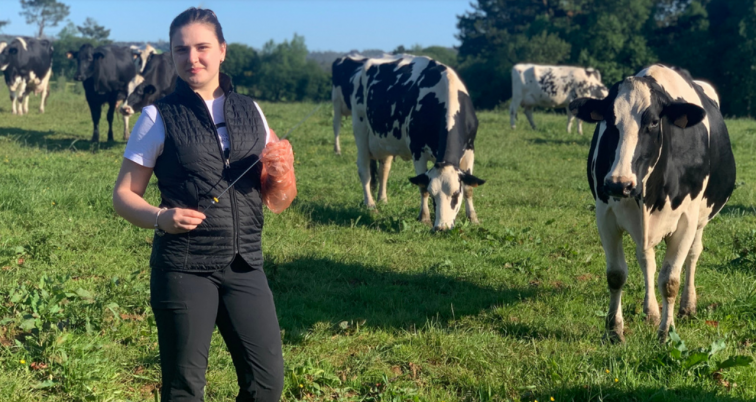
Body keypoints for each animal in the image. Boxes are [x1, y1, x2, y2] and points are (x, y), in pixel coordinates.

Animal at [350, 54, 484, 231]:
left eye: (456, 194)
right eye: (433, 194)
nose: (441, 228)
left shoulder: (470, 149)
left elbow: (469, 188)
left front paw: (473, 218)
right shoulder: (417, 150)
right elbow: (422, 188)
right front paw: (425, 218)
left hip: (384, 142)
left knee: (383, 169)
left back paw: (383, 199)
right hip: (360, 130)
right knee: (364, 170)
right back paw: (370, 204)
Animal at [568, 65, 736, 342]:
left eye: (654, 122)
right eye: (609, 121)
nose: (619, 184)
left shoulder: (686, 220)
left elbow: (670, 281)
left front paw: (666, 333)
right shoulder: (605, 215)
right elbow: (616, 275)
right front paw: (614, 330)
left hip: (701, 219)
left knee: (693, 254)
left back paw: (687, 306)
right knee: (646, 258)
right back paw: (651, 311)